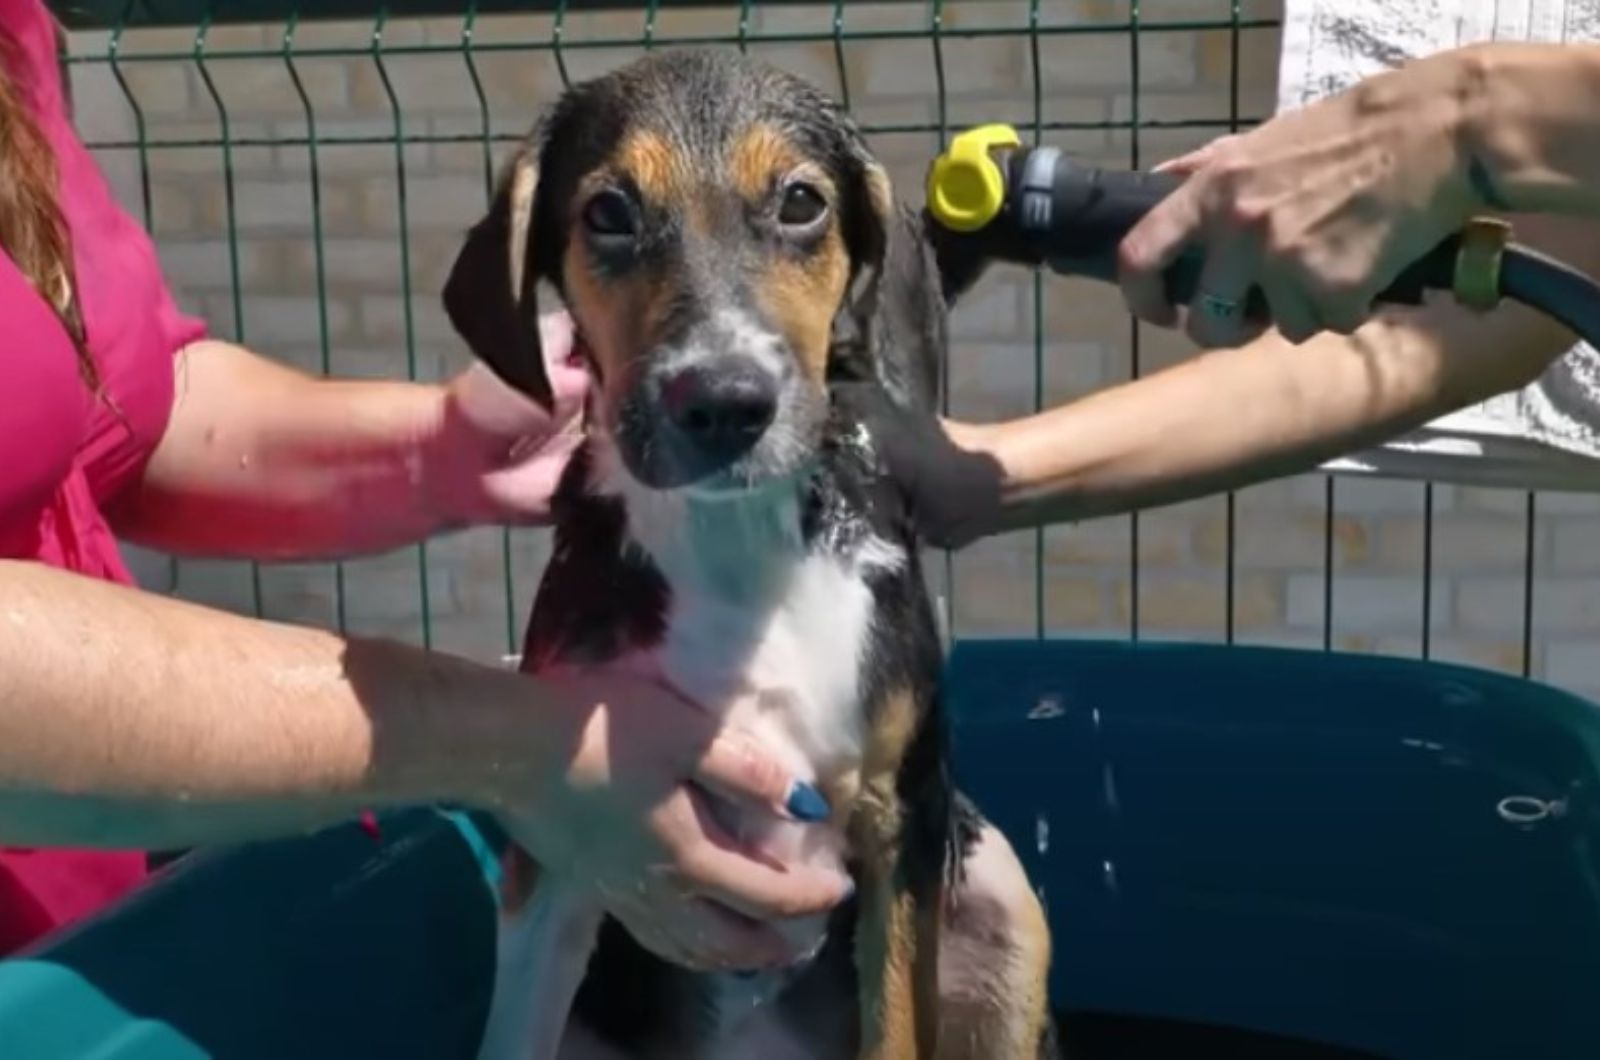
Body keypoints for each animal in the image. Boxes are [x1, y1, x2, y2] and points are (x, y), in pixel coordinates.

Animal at [444, 47, 1056, 1060]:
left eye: (802, 202)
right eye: (608, 213)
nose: (725, 403)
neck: (731, 544)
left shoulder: (901, 824)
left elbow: (896, 1027)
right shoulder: (569, 840)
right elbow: (513, 1028)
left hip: (1001, 896)